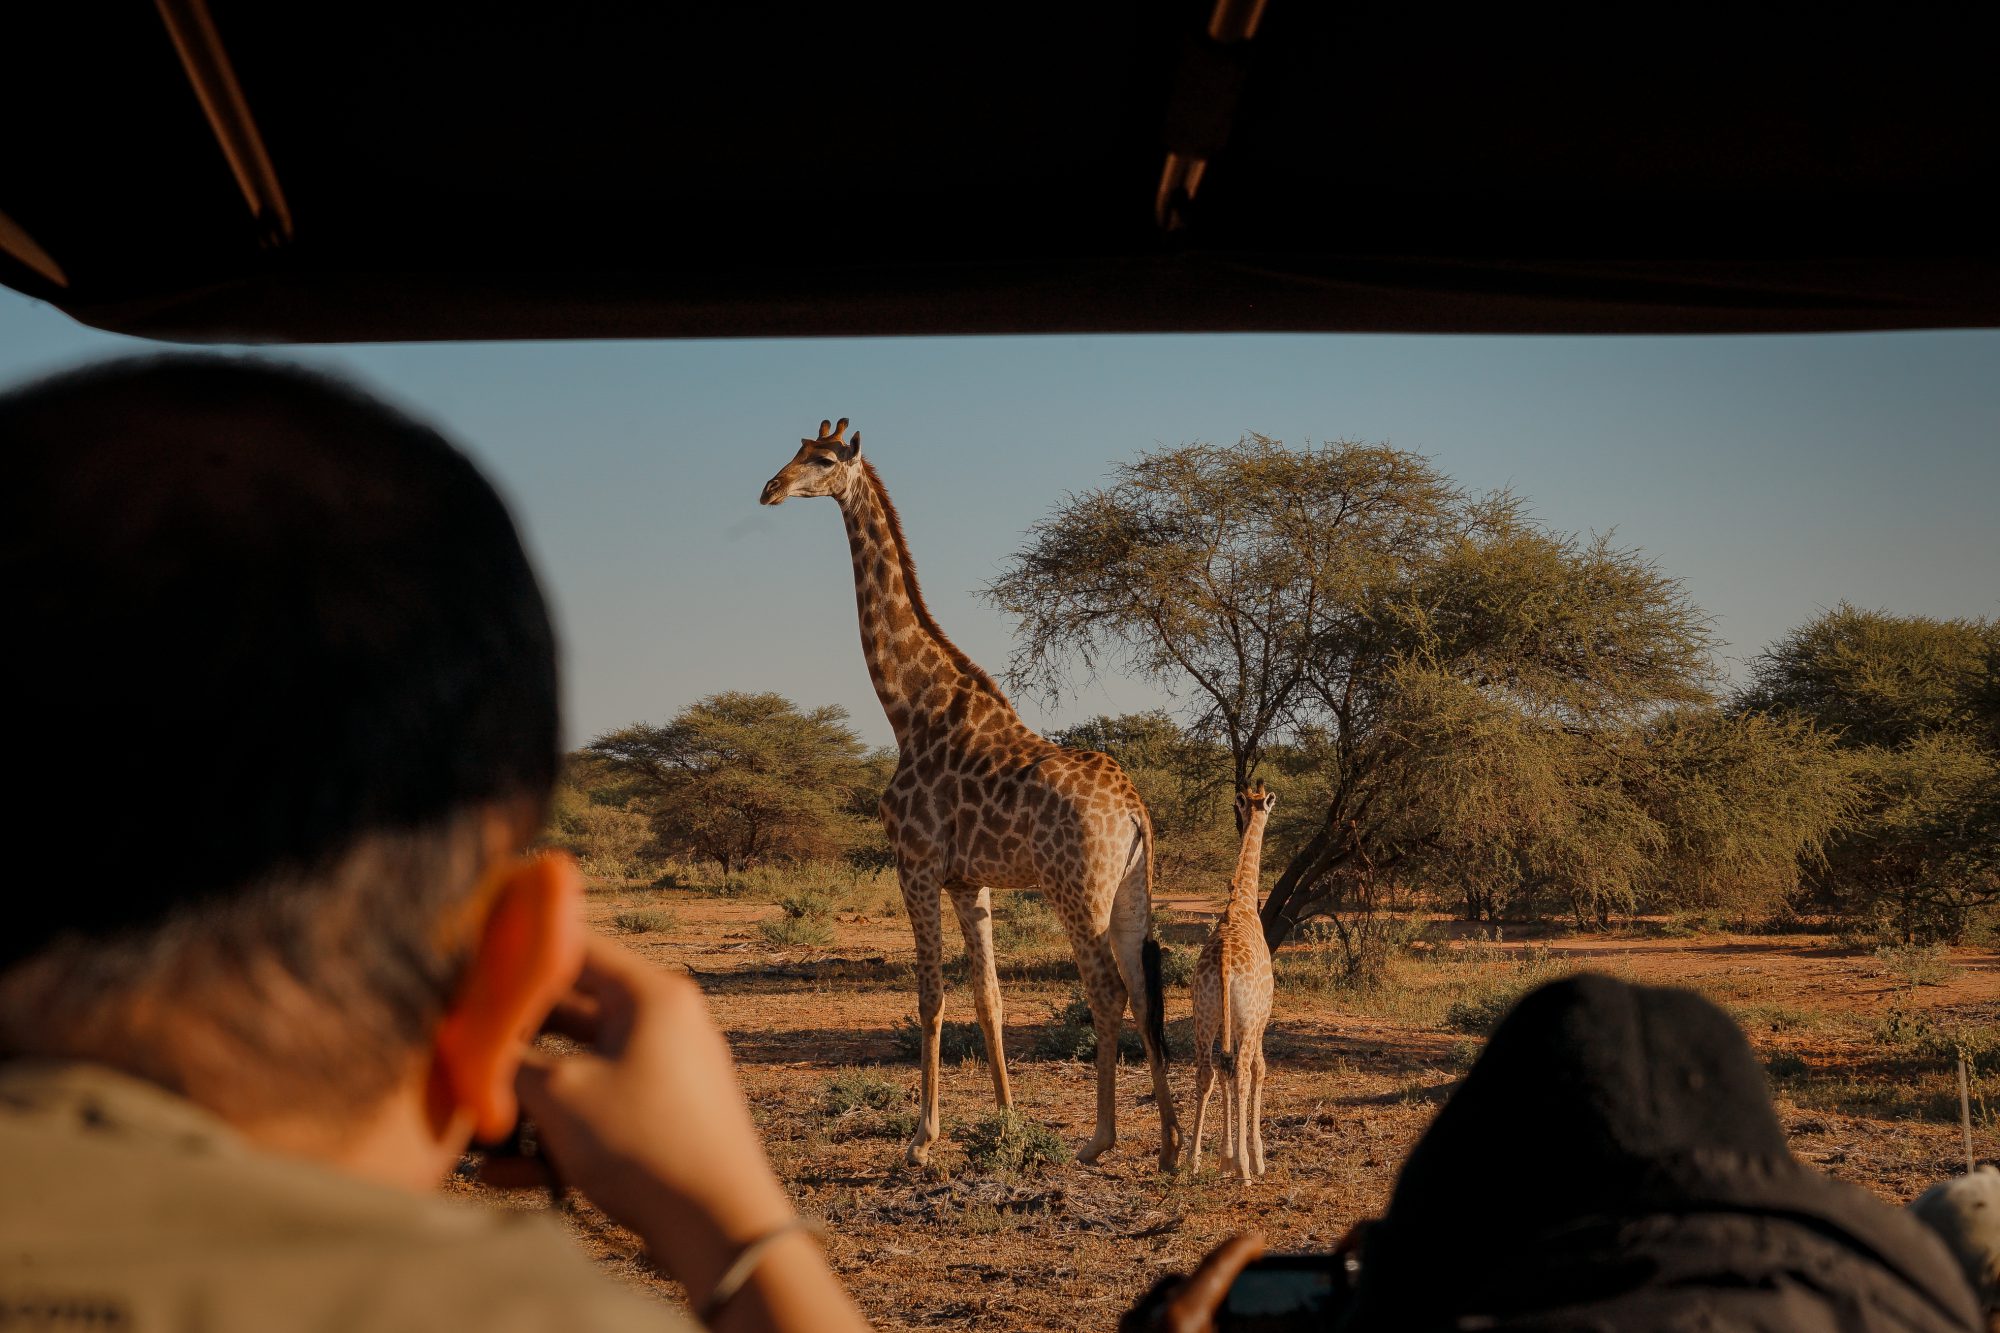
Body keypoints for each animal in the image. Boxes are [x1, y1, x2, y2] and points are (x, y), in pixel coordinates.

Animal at [756, 416, 1176, 1160]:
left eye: (824, 460)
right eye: (797, 450)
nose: (770, 489)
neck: (909, 710)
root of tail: (1133, 809)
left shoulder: (915, 865)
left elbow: (932, 998)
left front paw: (923, 1137)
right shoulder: (968, 881)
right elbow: (988, 996)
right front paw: (1007, 1118)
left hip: (1076, 888)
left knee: (1106, 989)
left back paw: (1100, 1138)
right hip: (1130, 890)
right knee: (1145, 987)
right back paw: (1173, 1145)